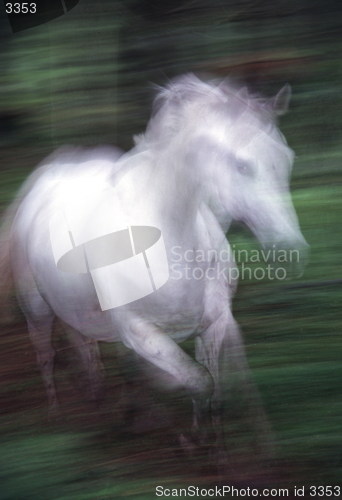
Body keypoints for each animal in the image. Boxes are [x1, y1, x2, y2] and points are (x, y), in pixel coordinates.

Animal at [0, 74, 308, 460]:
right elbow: (198, 382)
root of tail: (46, 174)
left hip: (75, 306)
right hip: (37, 309)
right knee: (46, 353)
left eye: (287, 158)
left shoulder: (215, 324)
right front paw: (191, 440)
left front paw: (216, 447)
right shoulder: (141, 334)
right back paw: (62, 417)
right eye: (242, 165)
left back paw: (107, 404)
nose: (292, 250)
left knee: (86, 348)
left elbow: (215, 391)